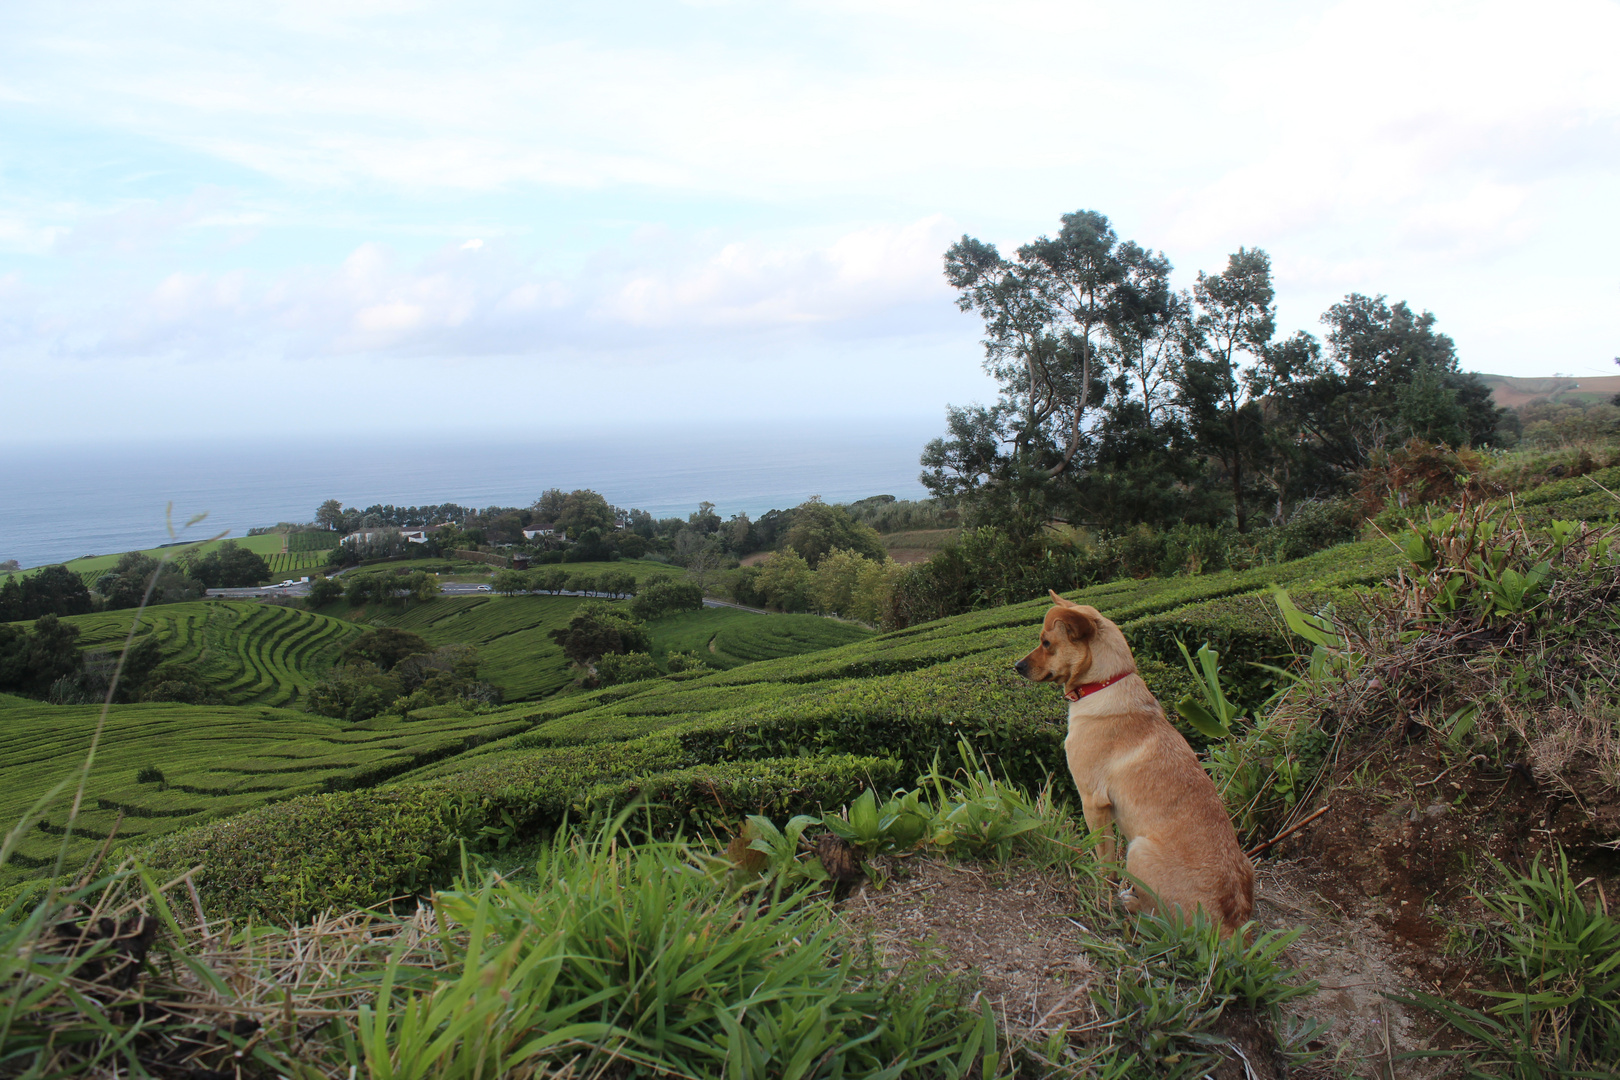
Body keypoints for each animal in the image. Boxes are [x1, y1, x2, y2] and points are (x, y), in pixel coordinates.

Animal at [1010, 592, 1250, 939]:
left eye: (1046, 643)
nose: (1016, 666)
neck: (1105, 682)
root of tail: (1232, 925)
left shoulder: (1092, 803)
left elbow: (1103, 860)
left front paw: (1102, 893)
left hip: (1138, 850)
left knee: (1161, 919)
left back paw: (1131, 905)